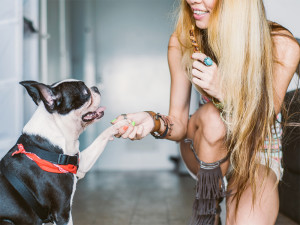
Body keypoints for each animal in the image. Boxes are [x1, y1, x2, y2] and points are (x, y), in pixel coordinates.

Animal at [0, 80, 127, 224]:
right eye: (85, 92)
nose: (95, 88)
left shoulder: (80, 164)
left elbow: (101, 137)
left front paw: (120, 124)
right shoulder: (62, 212)